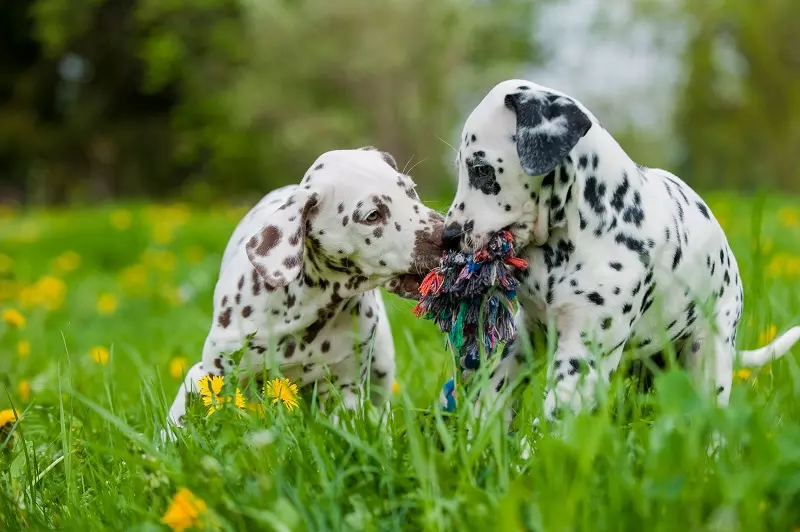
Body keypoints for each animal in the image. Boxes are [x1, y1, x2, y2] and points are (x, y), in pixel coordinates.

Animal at [166, 147, 444, 436]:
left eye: (411, 191)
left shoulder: (347, 386)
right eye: (373, 215)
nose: (448, 235)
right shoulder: (210, 372)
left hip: (380, 368)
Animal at [440, 79, 800, 420]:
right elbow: (495, 390)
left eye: (481, 169)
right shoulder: (527, 335)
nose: (448, 236)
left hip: (709, 355)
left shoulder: (583, 354)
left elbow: (554, 418)